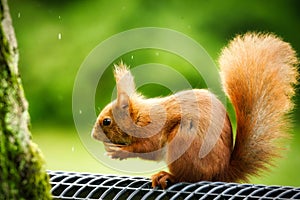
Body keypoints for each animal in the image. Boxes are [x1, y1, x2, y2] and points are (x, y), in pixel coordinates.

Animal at [92, 32, 298, 189]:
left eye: (107, 121)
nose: (93, 135)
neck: (139, 116)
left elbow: (148, 147)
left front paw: (119, 151)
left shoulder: (152, 126)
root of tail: (220, 173)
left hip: (184, 141)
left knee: (189, 177)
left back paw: (168, 176)